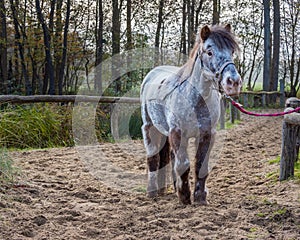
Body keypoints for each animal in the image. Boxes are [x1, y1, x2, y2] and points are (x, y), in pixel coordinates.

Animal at [140, 24, 241, 204]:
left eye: (232, 51)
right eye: (209, 52)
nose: (233, 82)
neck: (195, 100)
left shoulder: (207, 134)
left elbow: (200, 165)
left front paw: (200, 197)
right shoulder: (178, 133)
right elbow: (183, 164)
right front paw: (185, 197)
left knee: (168, 157)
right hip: (149, 127)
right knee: (153, 158)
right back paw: (152, 191)